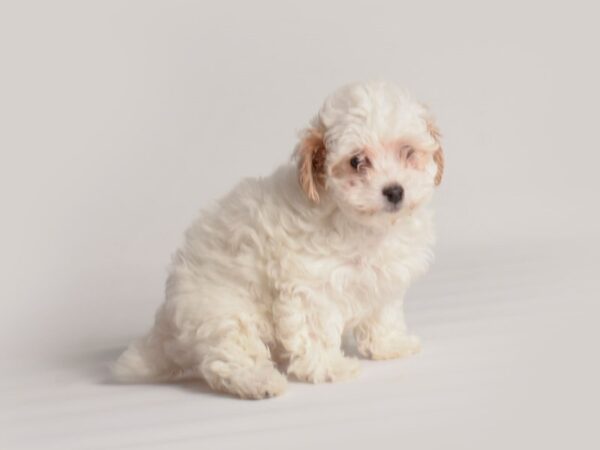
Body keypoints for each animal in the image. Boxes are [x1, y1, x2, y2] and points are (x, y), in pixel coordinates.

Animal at [113, 80, 440, 398]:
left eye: (407, 151)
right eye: (357, 161)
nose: (394, 191)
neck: (364, 228)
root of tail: (168, 320)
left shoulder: (384, 280)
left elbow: (383, 315)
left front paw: (391, 345)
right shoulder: (310, 285)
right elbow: (316, 330)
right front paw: (330, 366)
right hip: (225, 313)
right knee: (228, 358)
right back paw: (260, 381)